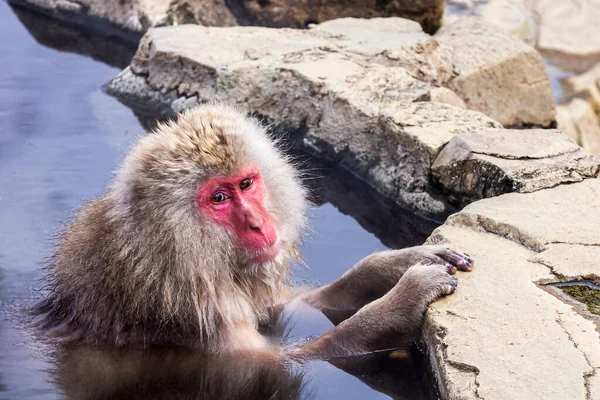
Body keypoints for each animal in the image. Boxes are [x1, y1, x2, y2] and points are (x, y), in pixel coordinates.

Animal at [35, 103, 474, 360]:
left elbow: (289, 304)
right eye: (219, 198)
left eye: (246, 184)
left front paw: (397, 263)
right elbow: (279, 362)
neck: (163, 255)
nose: (259, 224)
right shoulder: (197, 314)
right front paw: (401, 303)